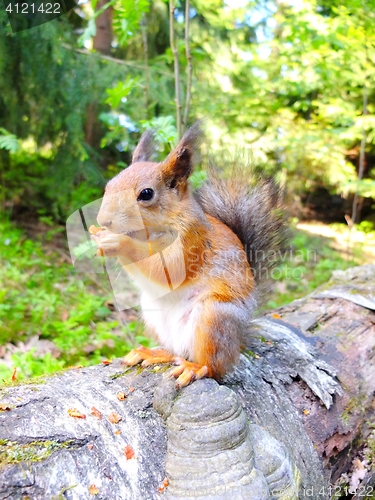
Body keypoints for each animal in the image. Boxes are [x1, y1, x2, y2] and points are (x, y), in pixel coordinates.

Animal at [91, 121, 284, 386]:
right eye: (109, 185)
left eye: (146, 194)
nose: (104, 221)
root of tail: (239, 339)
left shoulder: (192, 241)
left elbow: (167, 269)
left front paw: (117, 242)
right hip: (154, 315)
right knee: (176, 351)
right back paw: (154, 353)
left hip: (213, 319)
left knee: (213, 366)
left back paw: (194, 367)